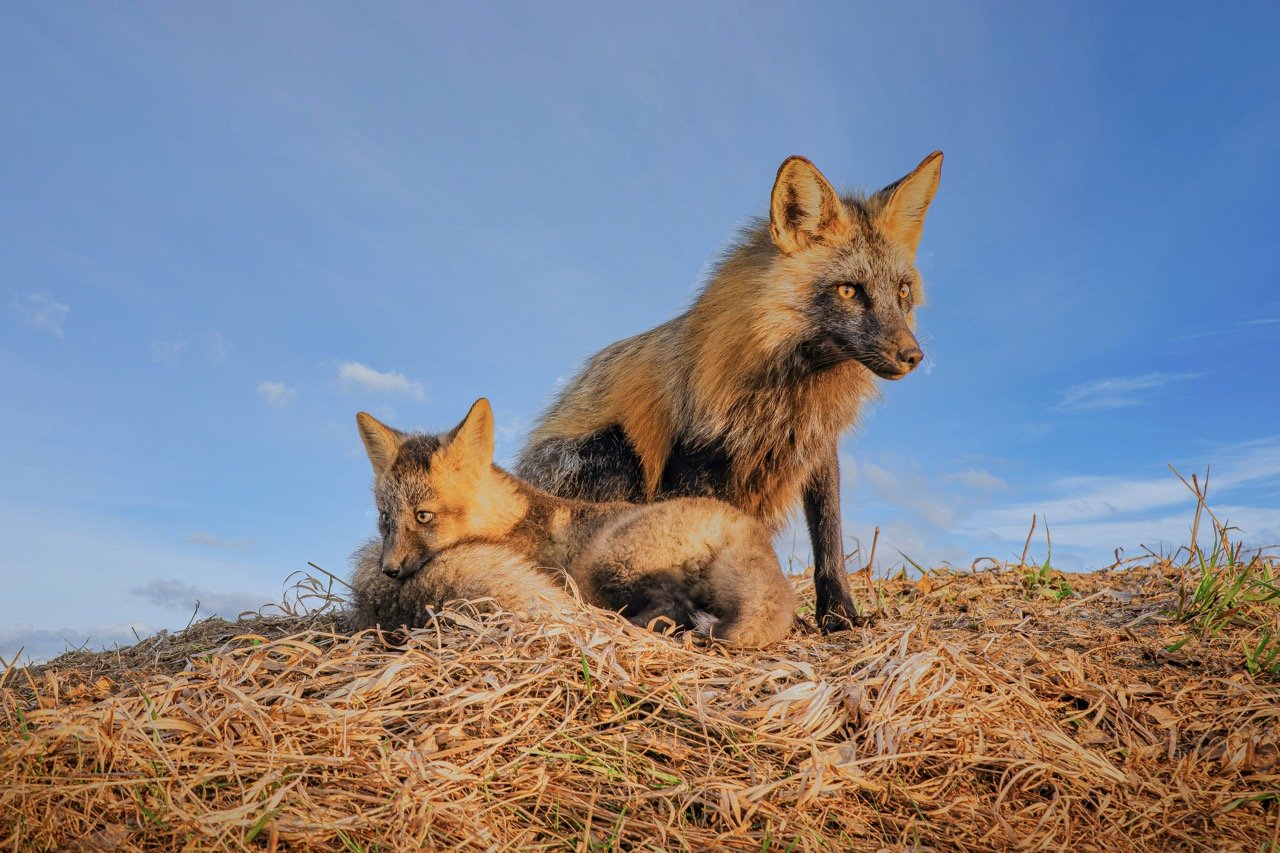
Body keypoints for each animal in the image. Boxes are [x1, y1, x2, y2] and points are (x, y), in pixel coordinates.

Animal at [351, 399, 797, 647]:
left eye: (423, 516)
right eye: (385, 518)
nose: (388, 570)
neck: (509, 521)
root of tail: (742, 525)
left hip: (609, 563)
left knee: (675, 607)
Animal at [516, 152, 943, 632]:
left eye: (902, 291)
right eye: (849, 290)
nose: (913, 356)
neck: (786, 393)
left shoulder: (817, 448)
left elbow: (829, 542)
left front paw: (838, 614)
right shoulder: (690, 462)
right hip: (616, 454)